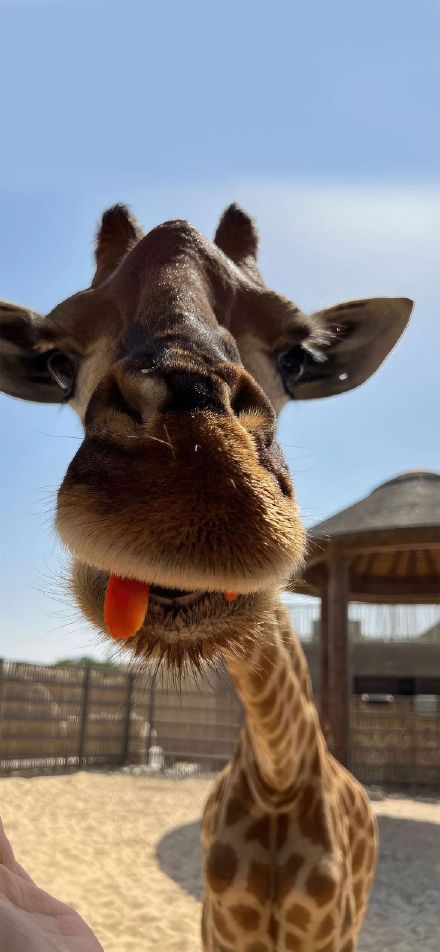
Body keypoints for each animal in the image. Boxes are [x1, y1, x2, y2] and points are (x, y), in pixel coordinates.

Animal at [0, 203, 412, 950]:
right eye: (57, 361)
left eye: (297, 356)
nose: (197, 477)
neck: (279, 780)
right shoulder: (217, 925)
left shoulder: (332, 931)